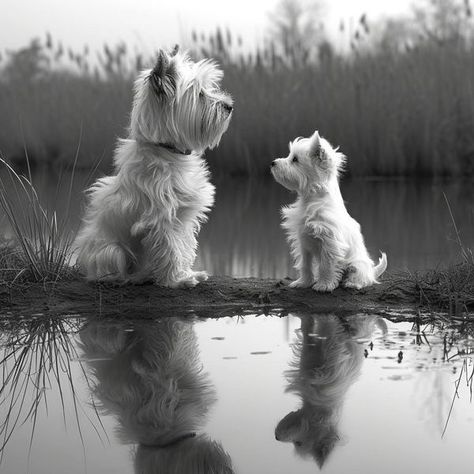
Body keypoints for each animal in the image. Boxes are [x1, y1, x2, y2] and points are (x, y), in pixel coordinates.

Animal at [272, 131, 386, 290]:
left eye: (295, 159)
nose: (273, 163)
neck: (311, 199)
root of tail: (372, 270)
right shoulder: (303, 241)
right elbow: (305, 264)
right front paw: (303, 282)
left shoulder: (330, 241)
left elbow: (326, 265)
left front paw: (324, 285)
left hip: (357, 263)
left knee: (363, 276)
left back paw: (352, 283)